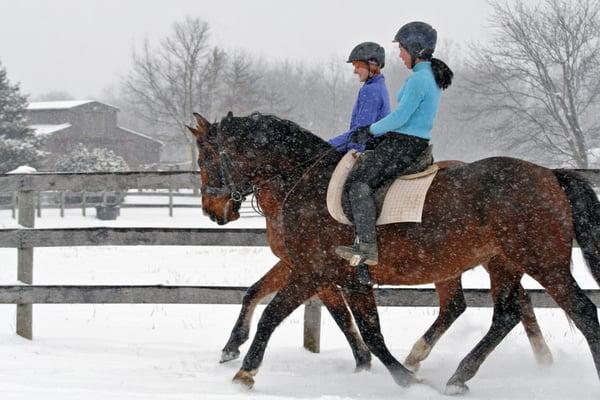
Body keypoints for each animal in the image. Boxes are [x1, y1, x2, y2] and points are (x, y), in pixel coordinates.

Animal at [189, 111, 600, 394]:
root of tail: (549, 175)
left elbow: (273, 314)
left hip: (543, 262)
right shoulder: (339, 275)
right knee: (504, 313)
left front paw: (245, 372)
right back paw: (456, 374)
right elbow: (366, 328)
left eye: (205, 160)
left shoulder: (313, 271)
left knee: (580, 311)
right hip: (501, 262)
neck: (302, 182)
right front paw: (398, 375)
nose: (213, 211)